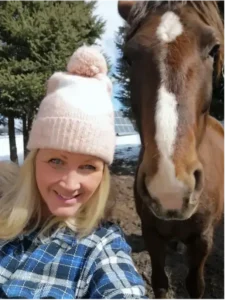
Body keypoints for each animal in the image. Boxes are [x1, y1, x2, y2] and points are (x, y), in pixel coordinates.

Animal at [117, 0, 225, 300]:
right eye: (128, 57)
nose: (170, 187)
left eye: (214, 48)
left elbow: (195, 285)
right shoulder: (151, 233)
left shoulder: (202, 239)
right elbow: (160, 282)